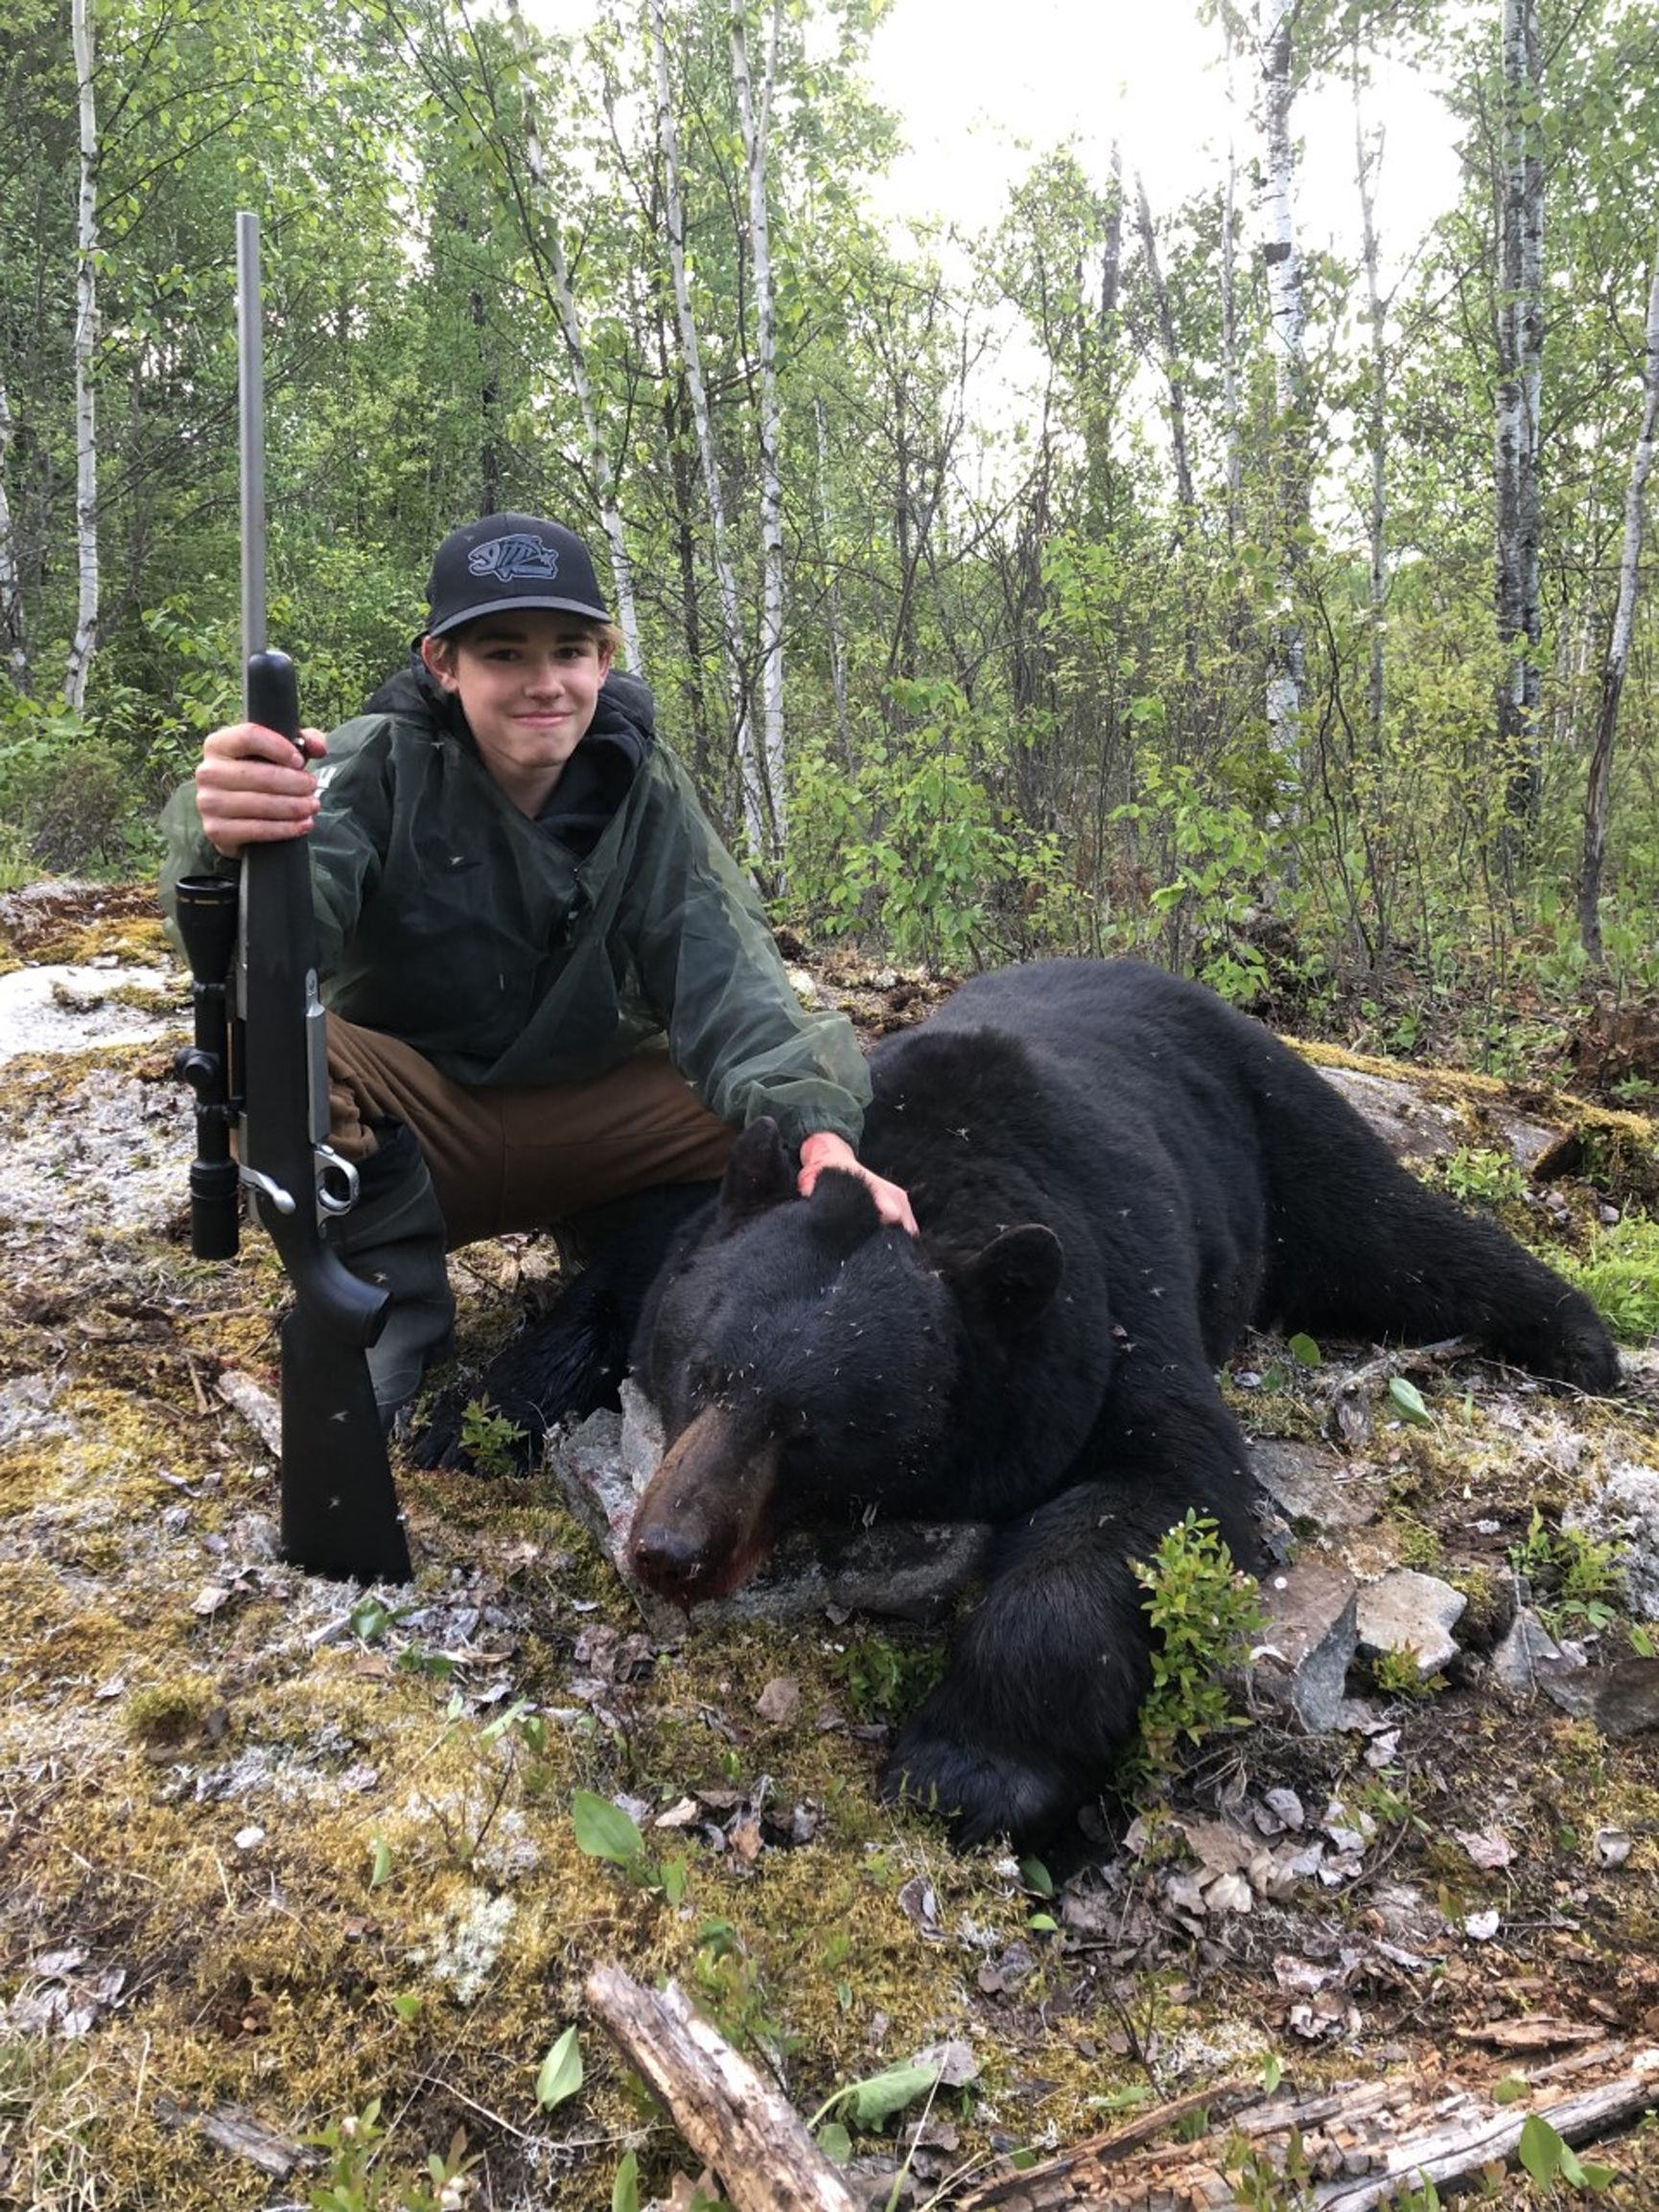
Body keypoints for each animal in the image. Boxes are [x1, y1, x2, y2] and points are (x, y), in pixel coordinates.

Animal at [617, 959, 1617, 1847]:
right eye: (703, 1373)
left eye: (812, 1429)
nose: (669, 1549)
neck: (939, 1165)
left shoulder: (1108, 1311)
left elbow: (1169, 1486)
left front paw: (970, 1768)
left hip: (1272, 1113)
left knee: (1390, 1232)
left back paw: (1584, 1340)